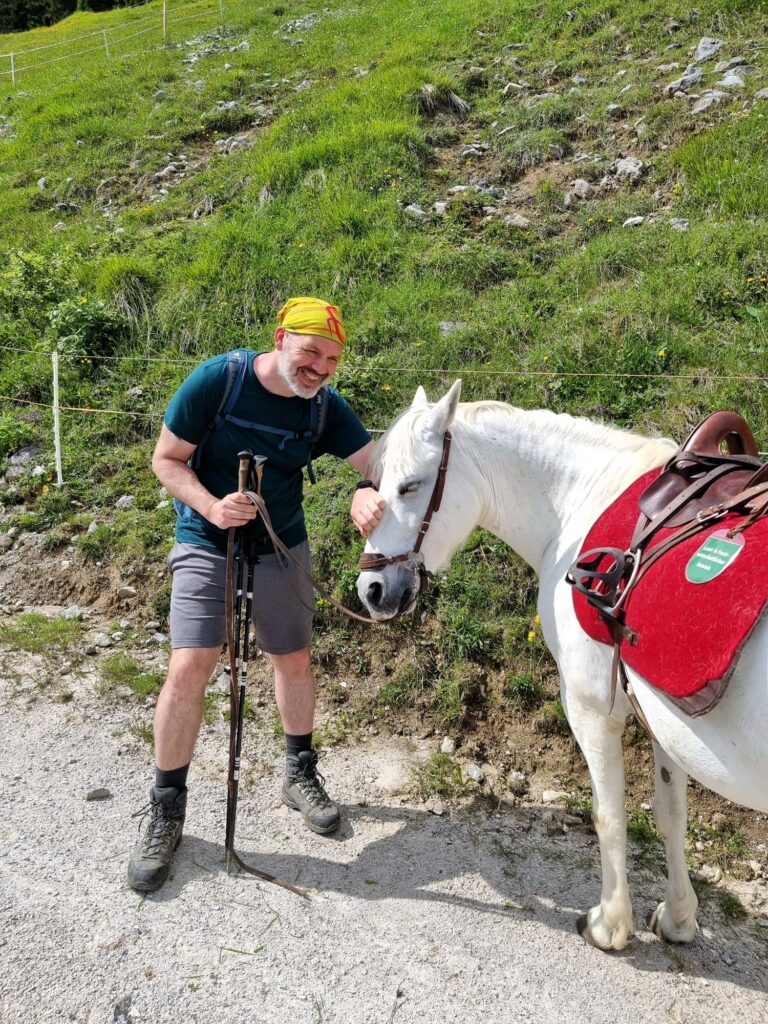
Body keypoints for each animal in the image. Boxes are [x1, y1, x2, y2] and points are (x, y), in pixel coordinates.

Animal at [360, 382, 768, 950]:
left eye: (410, 486)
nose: (371, 590)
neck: (581, 501)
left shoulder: (592, 708)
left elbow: (609, 816)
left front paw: (609, 924)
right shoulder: (665, 722)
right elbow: (671, 816)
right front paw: (679, 916)